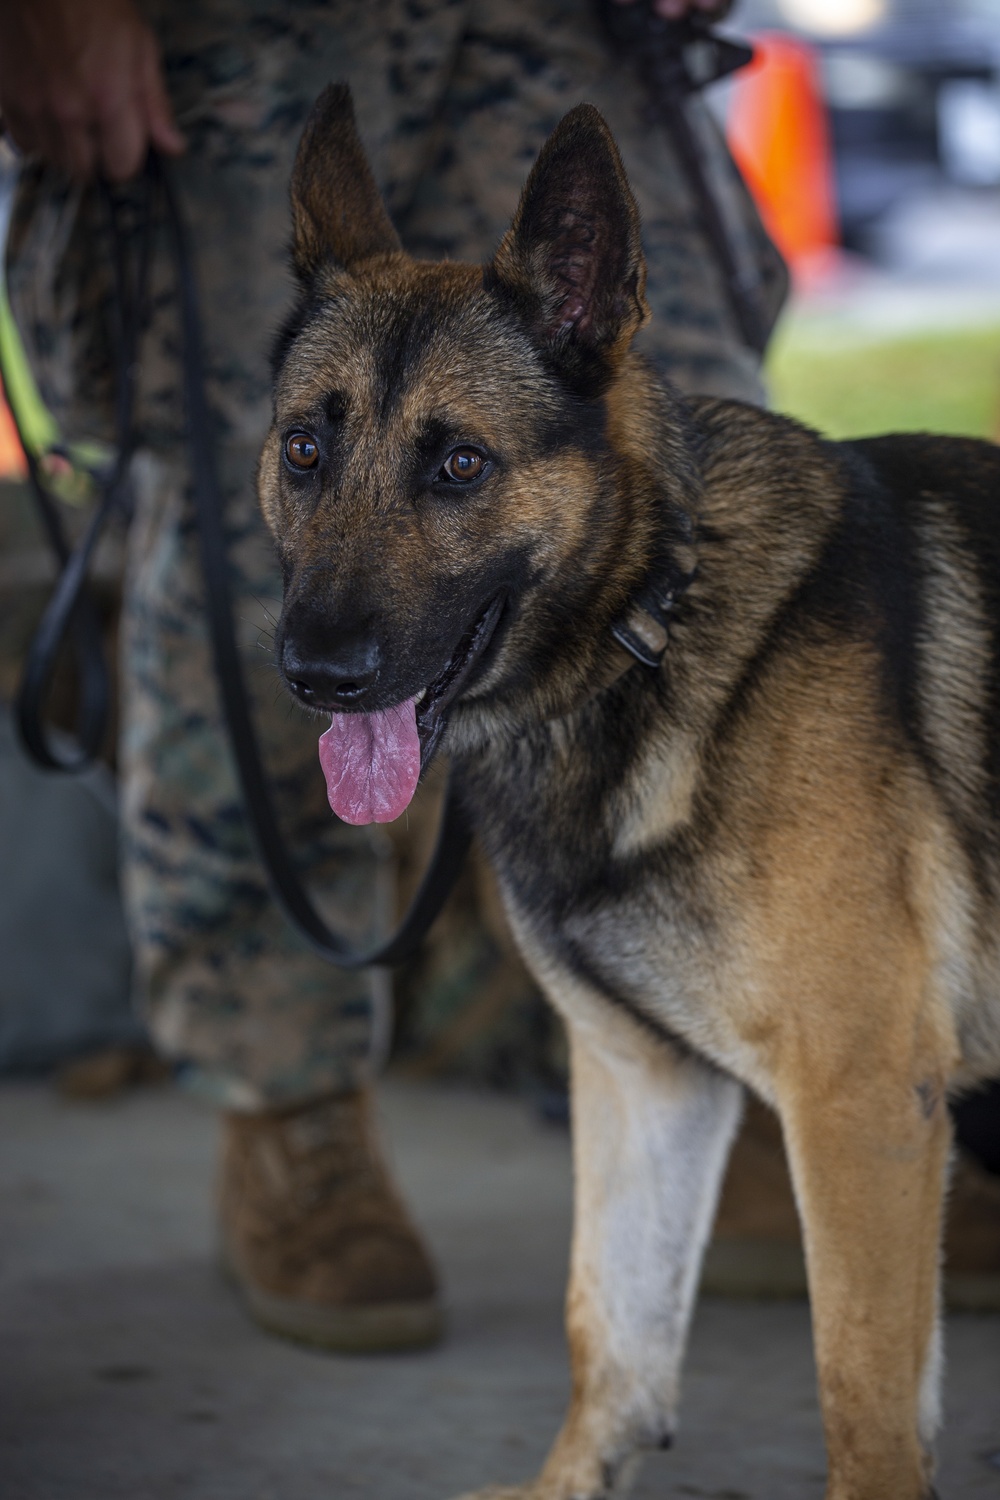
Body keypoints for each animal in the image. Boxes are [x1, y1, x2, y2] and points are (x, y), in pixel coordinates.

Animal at [257, 85, 1000, 1500]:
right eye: (307, 450)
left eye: (459, 466)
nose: (316, 673)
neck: (649, 621)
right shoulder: (645, 1084)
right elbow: (610, 1334)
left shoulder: (859, 1105)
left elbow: (862, 1401)